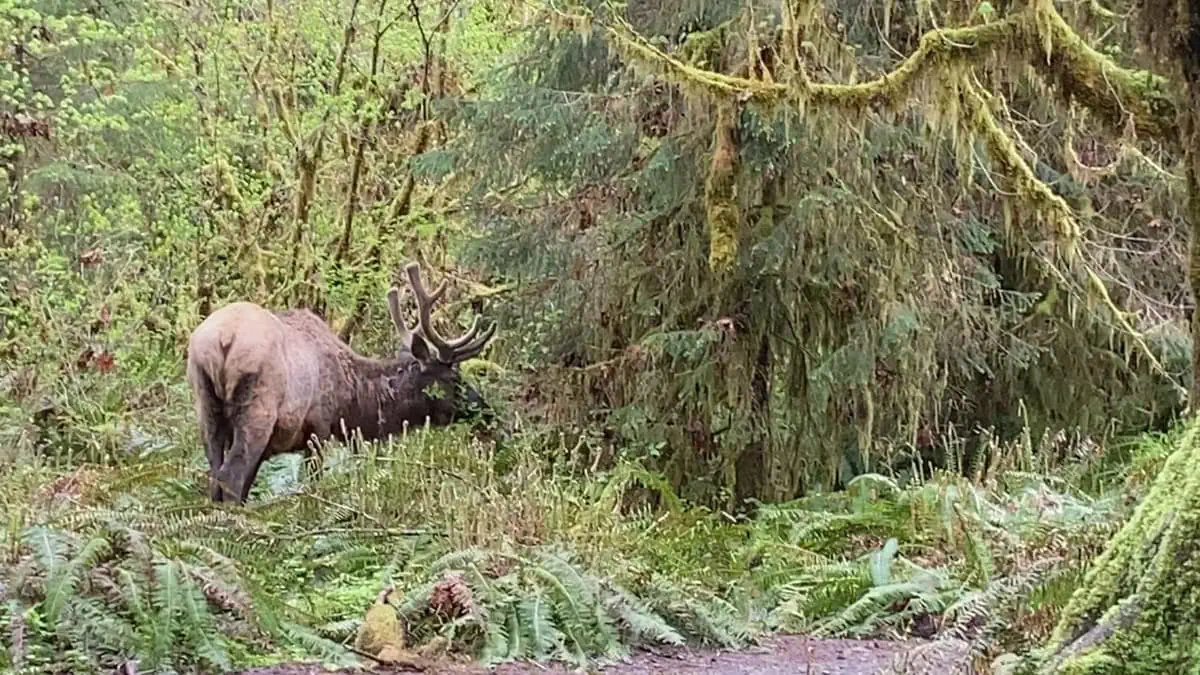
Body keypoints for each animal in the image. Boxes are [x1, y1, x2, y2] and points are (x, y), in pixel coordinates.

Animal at [185, 262, 497, 504]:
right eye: (453, 377)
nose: (487, 411)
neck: (350, 400)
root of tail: (221, 339)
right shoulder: (318, 426)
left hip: (206, 407)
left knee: (215, 476)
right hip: (258, 408)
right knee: (230, 478)